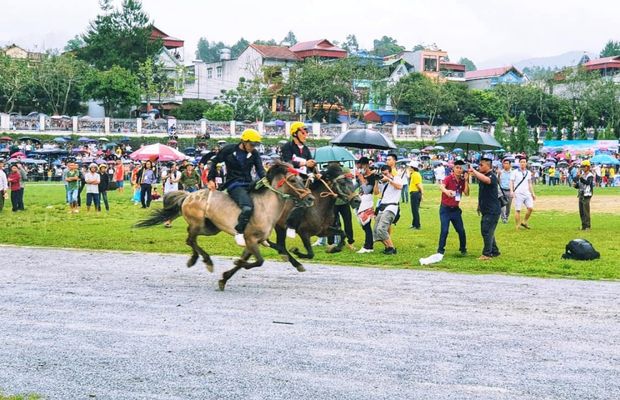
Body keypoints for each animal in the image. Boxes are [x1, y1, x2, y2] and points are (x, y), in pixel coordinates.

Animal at [136, 162, 312, 290]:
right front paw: (236, 264)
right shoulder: (251, 239)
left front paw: (224, 278)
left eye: (302, 180)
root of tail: (188, 195)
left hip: (210, 228)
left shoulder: (253, 242)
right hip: (198, 223)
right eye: (293, 180)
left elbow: (249, 260)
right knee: (190, 239)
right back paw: (205, 261)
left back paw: (196, 259)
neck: (265, 207)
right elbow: (259, 261)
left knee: (190, 239)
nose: (310, 198)